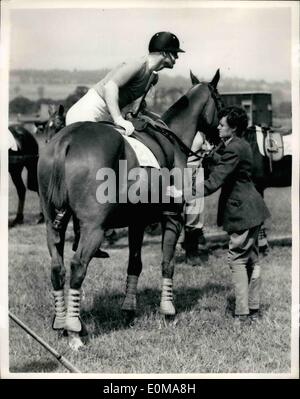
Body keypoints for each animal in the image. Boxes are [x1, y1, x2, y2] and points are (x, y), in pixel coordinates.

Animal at [38, 69, 223, 350]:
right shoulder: (172, 219)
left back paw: (60, 322)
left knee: (57, 268)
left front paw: (128, 310)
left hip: (53, 224)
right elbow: (167, 263)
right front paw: (168, 310)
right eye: (221, 103)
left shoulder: (137, 222)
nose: (218, 141)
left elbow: (134, 264)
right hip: (94, 229)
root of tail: (65, 141)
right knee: (78, 267)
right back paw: (75, 331)